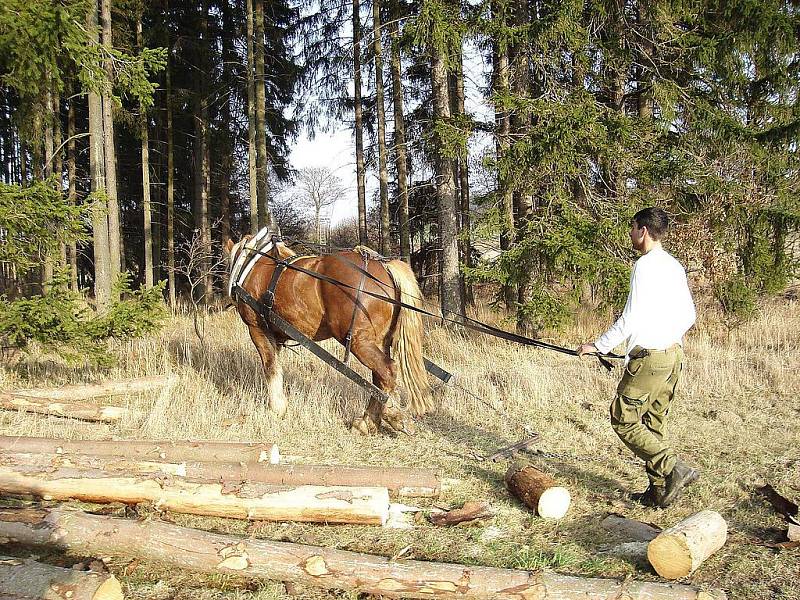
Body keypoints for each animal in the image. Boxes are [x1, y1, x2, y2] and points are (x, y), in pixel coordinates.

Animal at [222, 231, 434, 436]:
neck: (252, 266)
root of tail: (384, 267)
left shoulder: (258, 329)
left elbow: (270, 367)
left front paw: (277, 408)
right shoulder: (276, 336)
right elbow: (276, 366)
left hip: (358, 341)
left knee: (387, 371)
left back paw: (392, 415)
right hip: (380, 341)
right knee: (378, 378)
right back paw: (367, 423)